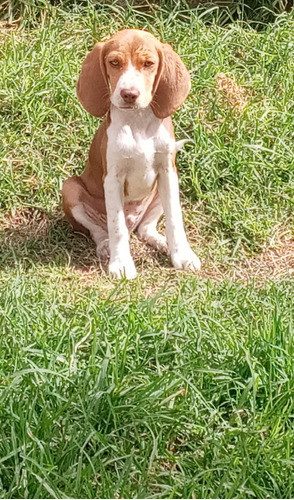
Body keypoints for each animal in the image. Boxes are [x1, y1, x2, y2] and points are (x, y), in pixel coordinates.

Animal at [61, 29, 200, 280]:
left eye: (148, 64)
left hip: (165, 189)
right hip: (70, 188)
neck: (137, 122)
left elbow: (175, 219)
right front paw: (122, 264)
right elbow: (116, 226)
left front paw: (182, 255)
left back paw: (162, 242)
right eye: (114, 62)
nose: (129, 94)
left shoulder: (168, 171)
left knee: (145, 229)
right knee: (102, 231)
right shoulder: (112, 178)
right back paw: (106, 246)